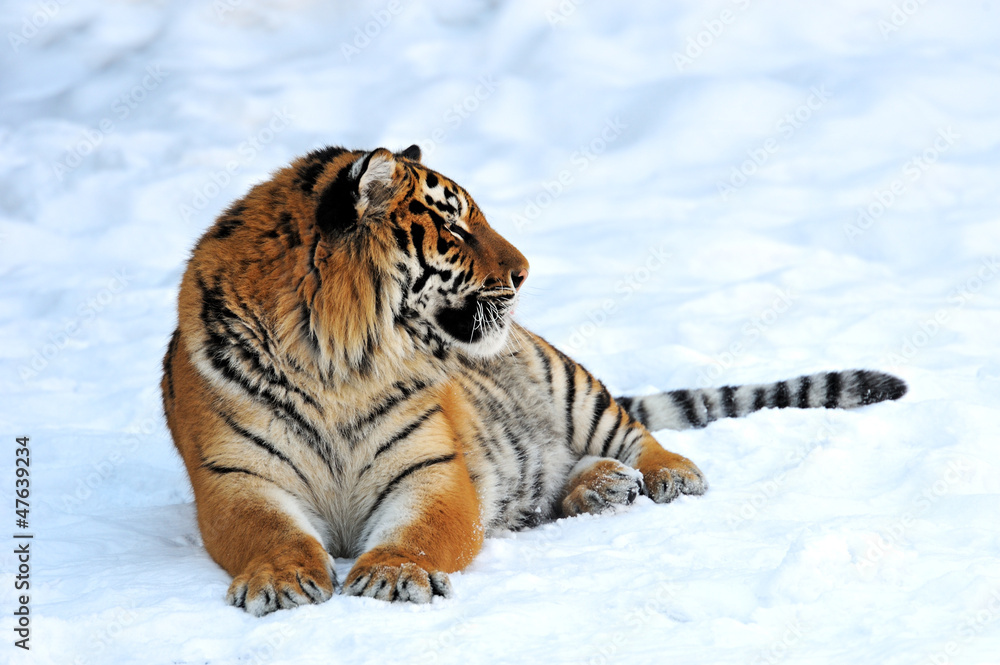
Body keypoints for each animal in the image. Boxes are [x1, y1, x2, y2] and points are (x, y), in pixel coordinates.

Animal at [161, 144, 907, 616]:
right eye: (455, 227)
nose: (524, 271)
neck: (341, 365)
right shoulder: (237, 479)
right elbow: (272, 533)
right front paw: (282, 582)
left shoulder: (433, 472)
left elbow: (421, 533)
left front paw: (394, 573)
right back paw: (602, 486)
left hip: (568, 384)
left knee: (635, 434)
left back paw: (662, 475)